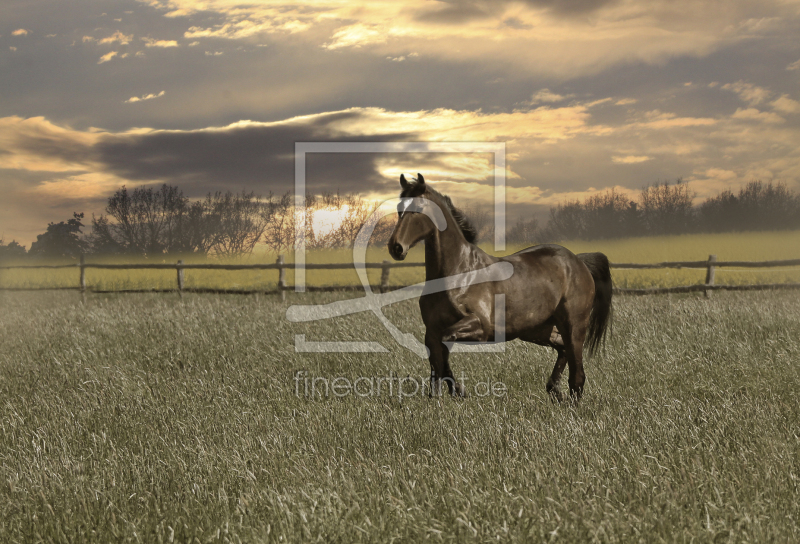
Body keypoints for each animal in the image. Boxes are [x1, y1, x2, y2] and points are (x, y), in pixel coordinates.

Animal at [388, 175, 612, 404]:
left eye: (418, 208)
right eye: (399, 208)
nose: (396, 247)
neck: (458, 272)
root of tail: (578, 262)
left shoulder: (480, 326)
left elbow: (445, 344)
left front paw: (458, 391)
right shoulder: (431, 332)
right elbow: (438, 362)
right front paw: (447, 395)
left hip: (574, 325)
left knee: (577, 373)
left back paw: (571, 403)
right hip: (538, 329)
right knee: (563, 349)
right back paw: (554, 391)